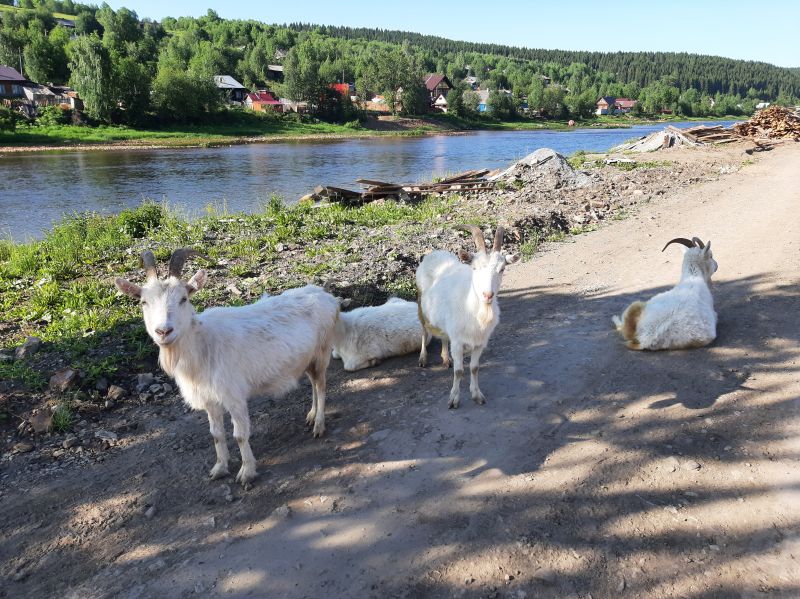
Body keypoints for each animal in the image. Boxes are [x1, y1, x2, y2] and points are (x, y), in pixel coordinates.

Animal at [114, 251, 340, 486]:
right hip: (308, 358)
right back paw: (312, 415)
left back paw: (319, 425)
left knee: (321, 386)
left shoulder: (234, 396)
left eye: (183, 298)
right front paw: (219, 468)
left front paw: (246, 472)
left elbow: (239, 435)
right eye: (143, 302)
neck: (204, 345)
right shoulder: (209, 399)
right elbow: (216, 434)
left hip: (322, 351)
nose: (163, 331)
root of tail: (326, 295)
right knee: (313, 383)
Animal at [416, 227, 520, 410]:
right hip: (422, 306)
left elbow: (474, 368)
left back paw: (446, 358)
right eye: (475, 268)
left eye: (502, 269)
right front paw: (453, 399)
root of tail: (433, 253)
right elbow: (459, 371)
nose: (487, 295)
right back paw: (423, 358)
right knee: (423, 331)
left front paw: (477, 395)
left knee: (443, 336)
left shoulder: (480, 342)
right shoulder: (458, 342)